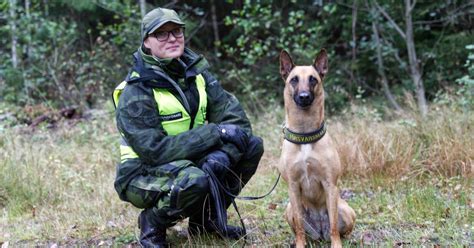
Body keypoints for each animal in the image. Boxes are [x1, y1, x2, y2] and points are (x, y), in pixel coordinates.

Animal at [278, 49, 356, 247]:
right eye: (294, 80)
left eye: (313, 79)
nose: (304, 97)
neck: (305, 136)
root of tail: (320, 233)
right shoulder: (293, 187)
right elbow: (299, 228)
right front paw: (299, 245)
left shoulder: (330, 185)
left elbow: (334, 226)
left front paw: (337, 245)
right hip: (289, 208)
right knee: (300, 229)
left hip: (346, 209)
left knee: (340, 229)